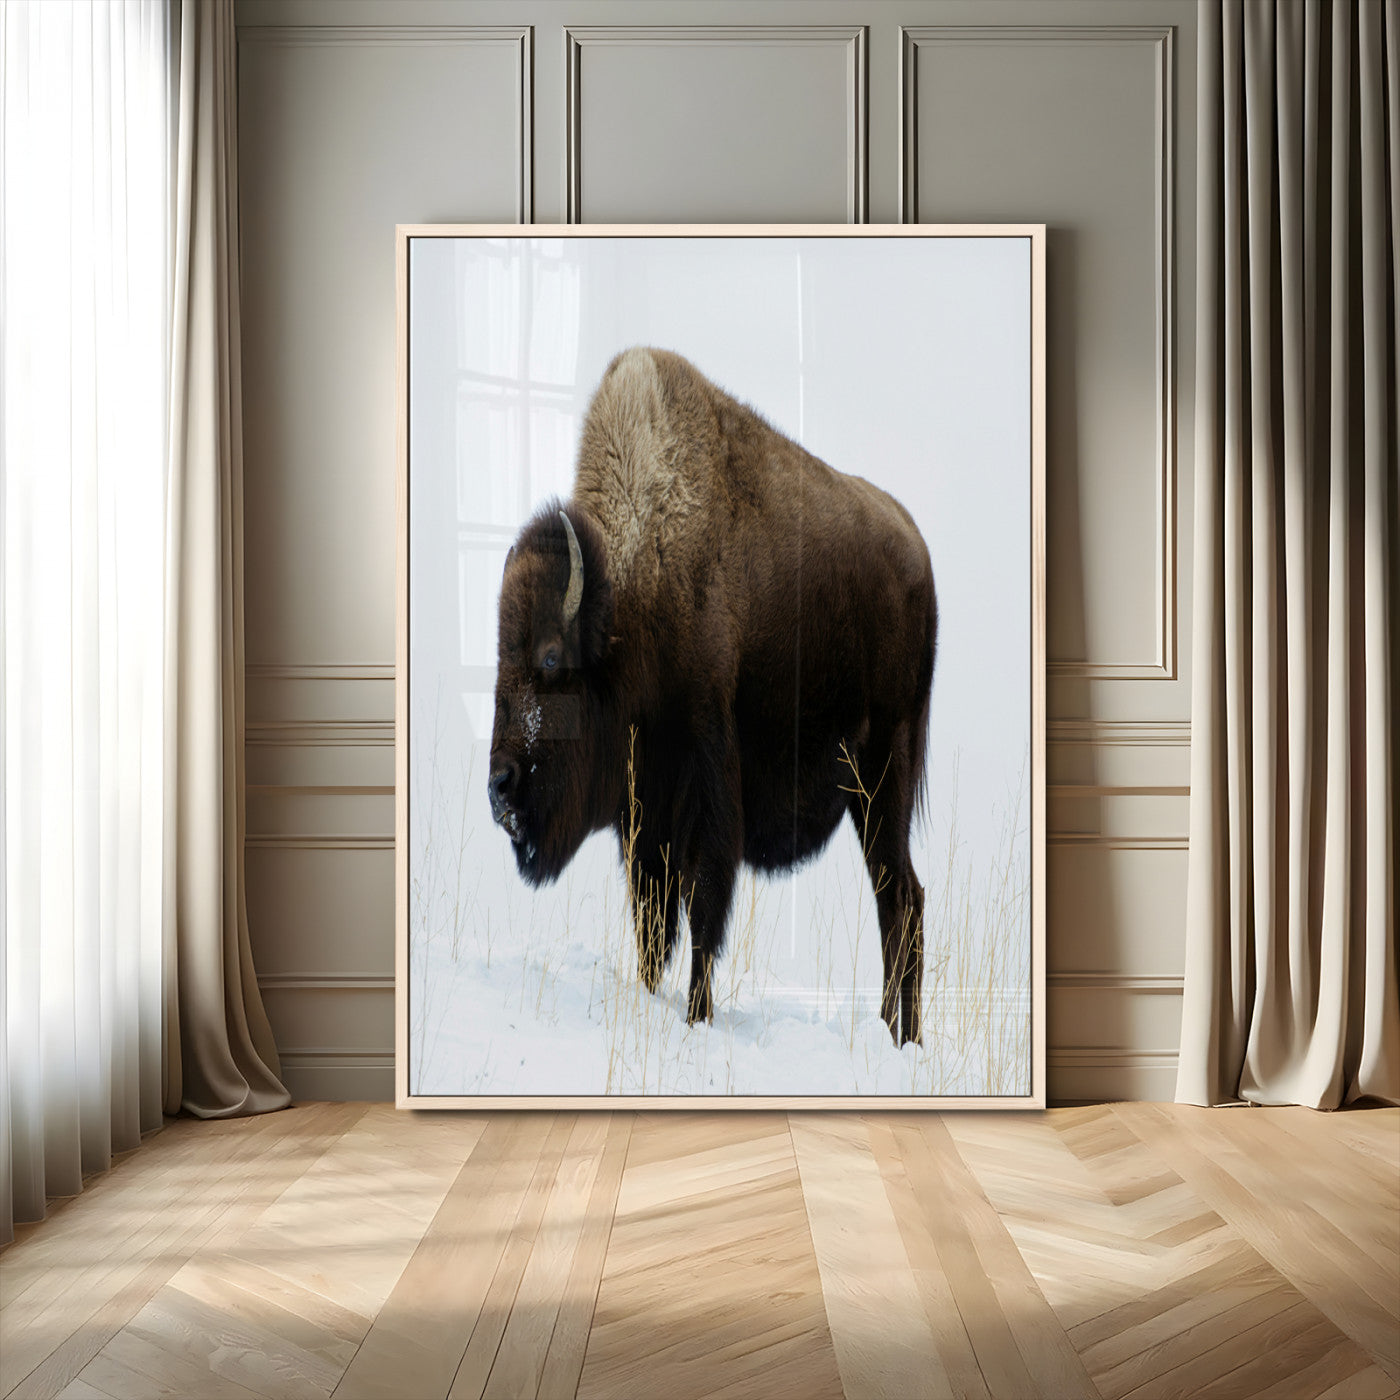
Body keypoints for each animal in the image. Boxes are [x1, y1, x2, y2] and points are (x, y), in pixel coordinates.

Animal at [487, 348, 937, 1045]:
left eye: (552, 658)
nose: (499, 786)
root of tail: (918, 550)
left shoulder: (708, 790)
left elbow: (703, 913)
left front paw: (697, 1018)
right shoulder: (643, 817)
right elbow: (652, 924)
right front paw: (651, 998)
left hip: (885, 773)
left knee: (901, 897)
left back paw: (902, 1037)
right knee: (899, 899)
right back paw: (894, 1032)